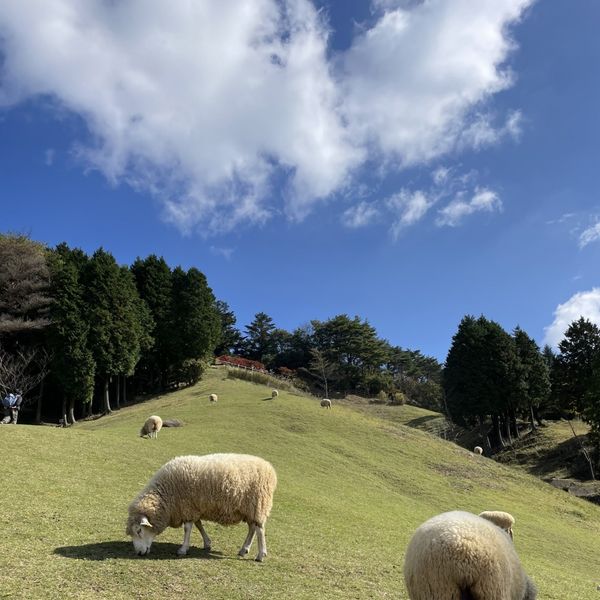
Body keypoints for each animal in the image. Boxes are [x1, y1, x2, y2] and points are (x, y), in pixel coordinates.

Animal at [126, 454, 278, 564]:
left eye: (139, 530)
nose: (139, 553)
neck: (166, 494)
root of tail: (269, 467)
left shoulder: (187, 506)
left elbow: (187, 528)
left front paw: (183, 549)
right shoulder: (194, 507)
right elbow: (198, 525)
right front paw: (207, 543)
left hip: (258, 504)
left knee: (259, 530)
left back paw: (260, 555)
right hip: (248, 509)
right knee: (252, 528)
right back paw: (244, 549)